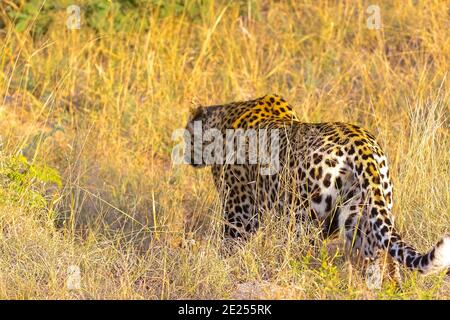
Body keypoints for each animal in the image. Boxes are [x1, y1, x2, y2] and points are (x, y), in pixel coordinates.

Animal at [183, 93, 450, 278]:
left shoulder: (239, 213)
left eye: (186, 134)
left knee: (300, 256)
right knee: (377, 263)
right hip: (364, 216)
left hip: (302, 219)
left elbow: (228, 246)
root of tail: (361, 144)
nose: (185, 155)